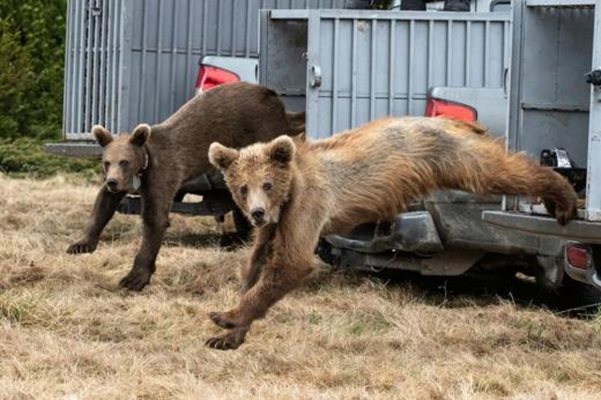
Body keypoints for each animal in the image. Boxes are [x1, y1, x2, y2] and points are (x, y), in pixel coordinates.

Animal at [67, 81, 304, 290]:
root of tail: (274, 97)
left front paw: (134, 277)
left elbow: (155, 220)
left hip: (262, 128)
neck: (142, 168)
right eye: (107, 162)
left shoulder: (160, 176)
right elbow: (103, 204)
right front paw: (80, 244)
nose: (112, 182)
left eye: (124, 161)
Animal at [205, 115, 576, 350]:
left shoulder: (307, 205)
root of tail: (452, 120)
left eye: (267, 183)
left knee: (500, 170)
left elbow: (291, 263)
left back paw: (564, 199)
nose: (256, 213)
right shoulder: (276, 225)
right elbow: (257, 265)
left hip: (453, 157)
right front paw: (227, 335)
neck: (287, 195)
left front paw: (224, 316)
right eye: (242, 187)